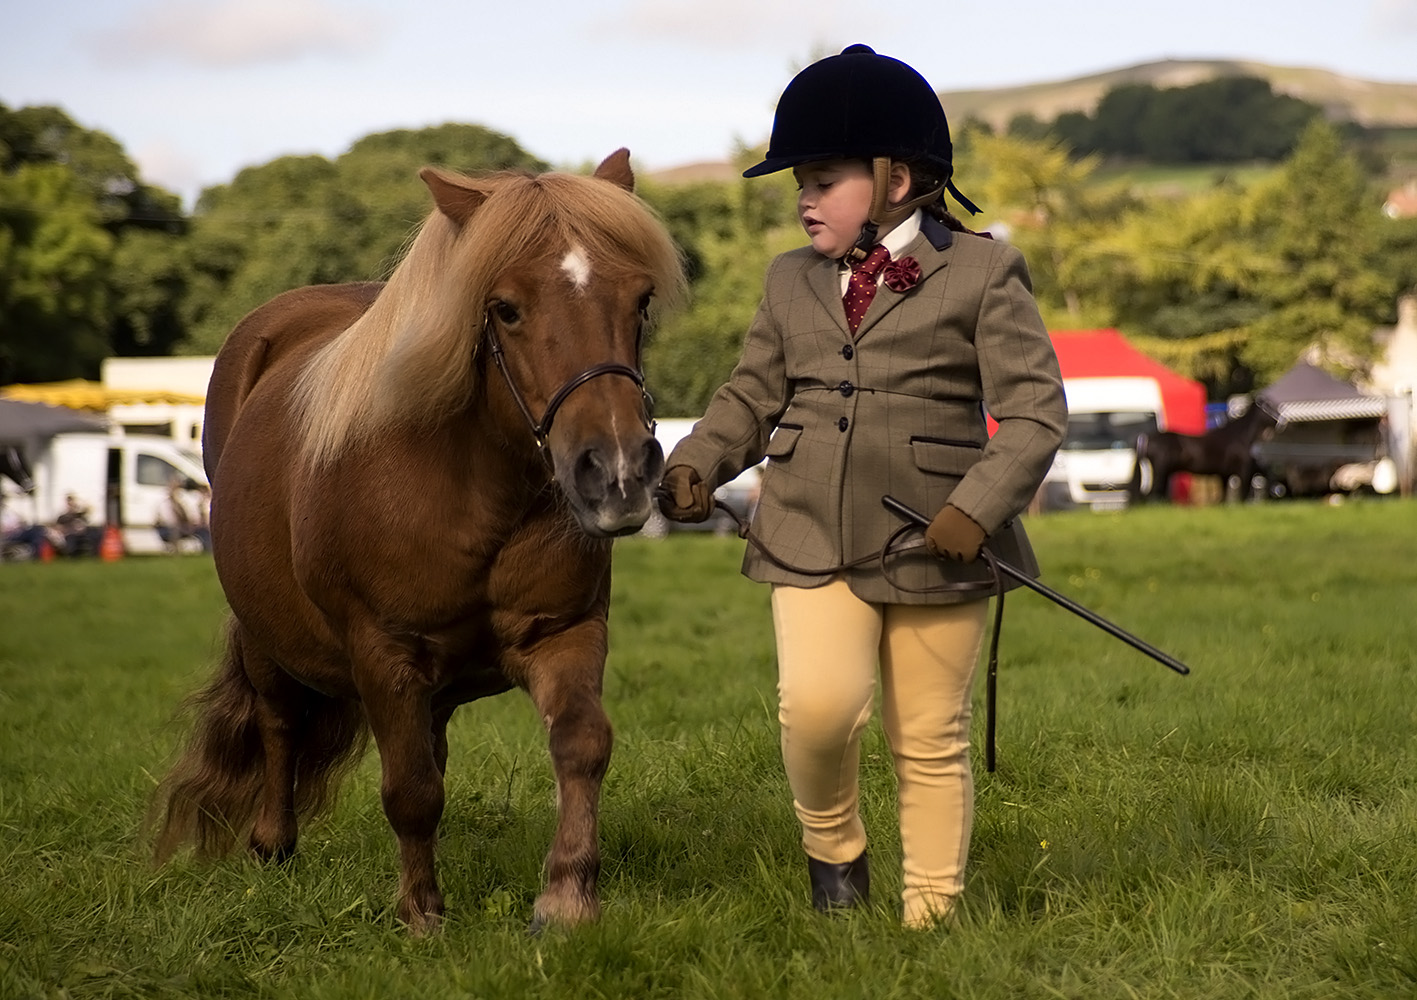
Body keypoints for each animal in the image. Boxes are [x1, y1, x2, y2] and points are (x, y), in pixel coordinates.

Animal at [152, 151, 682, 929]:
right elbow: (408, 788)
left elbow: (582, 745)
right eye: (505, 309)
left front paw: (566, 895)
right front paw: (421, 913)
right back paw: (273, 843)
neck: (471, 491)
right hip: (267, 637)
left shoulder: (567, 632)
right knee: (280, 723)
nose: (616, 470)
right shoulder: (384, 653)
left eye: (640, 301)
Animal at [1127, 396, 1286, 501]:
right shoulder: (1244, 471)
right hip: (1160, 470)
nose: (1282, 422)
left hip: (1166, 472)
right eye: (1267, 406)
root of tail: (1146, 437)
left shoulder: (1225, 474)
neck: (1241, 437)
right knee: (1153, 493)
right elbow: (1243, 495)